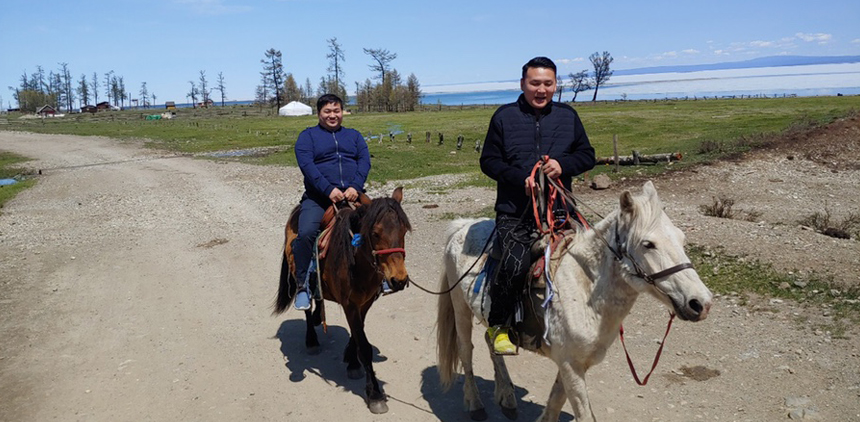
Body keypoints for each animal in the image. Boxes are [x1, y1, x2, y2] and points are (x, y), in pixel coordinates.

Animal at [274, 187, 412, 412]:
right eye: (375, 233)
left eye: (403, 231)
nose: (398, 280)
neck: (357, 261)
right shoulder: (350, 304)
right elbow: (363, 345)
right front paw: (375, 394)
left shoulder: (364, 303)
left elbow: (358, 332)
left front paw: (351, 359)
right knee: (307, 303)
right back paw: (311, 340)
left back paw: (317, 317)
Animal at [436, 181, 712, 422]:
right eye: (648, 244)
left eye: (682, 239)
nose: (701, 303)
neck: (585, 289)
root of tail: (462, 225)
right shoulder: (571, 364)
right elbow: (582, 414)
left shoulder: (574, 364)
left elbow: (554, 406)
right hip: (460, 308)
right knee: (466, 350)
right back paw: (475, 404)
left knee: (491, 340)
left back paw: (507, 398)